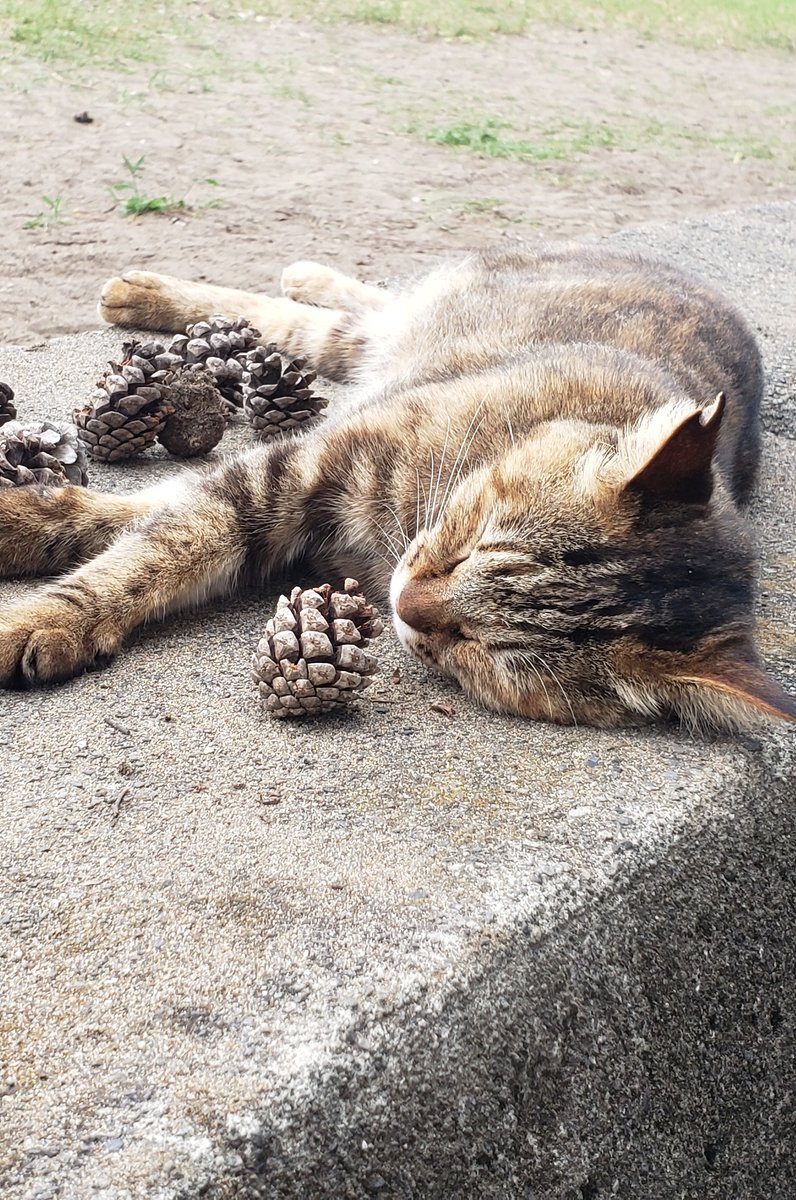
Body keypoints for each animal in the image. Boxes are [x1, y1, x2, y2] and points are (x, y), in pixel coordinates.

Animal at [1, 246, 796, 729]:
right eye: (474, 545)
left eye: (481, 648)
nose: (405, 605)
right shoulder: (295, 468)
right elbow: (148, 547)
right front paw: (36, 590)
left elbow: (148, 527)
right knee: (328, 314)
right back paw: (177, 289)